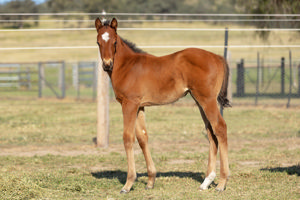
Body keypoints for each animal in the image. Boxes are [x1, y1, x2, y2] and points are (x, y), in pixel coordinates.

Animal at [95, 17, 231, 194]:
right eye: (98, 42)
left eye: (115, 42)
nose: (107, 64)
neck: (127, 66)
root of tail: (217, 57)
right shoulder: (139, 106)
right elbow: (142, 137)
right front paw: (150, 181)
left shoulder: (129, 104)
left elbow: (128, 138)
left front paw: (128, 184)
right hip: (200, 101)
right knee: (210, 132)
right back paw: (206, 181)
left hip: (207, 100)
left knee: (220, 127)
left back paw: (222, 182)